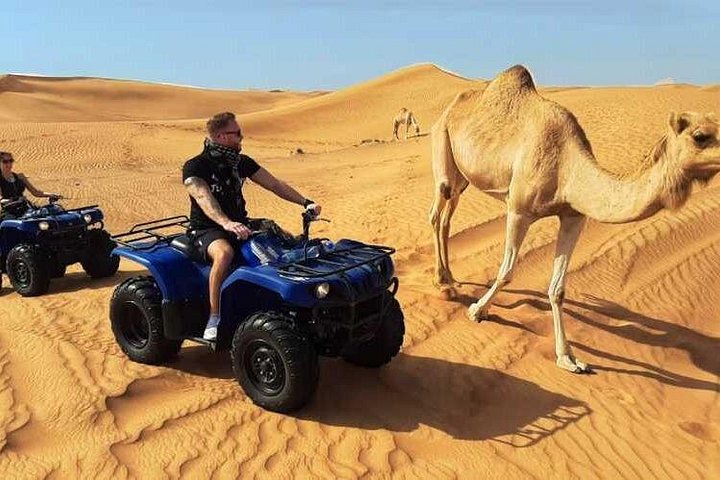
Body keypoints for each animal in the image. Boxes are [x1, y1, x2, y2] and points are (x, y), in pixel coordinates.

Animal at [429, 65, 720, 373]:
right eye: (700, 136)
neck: (567, 166)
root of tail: (452, 106)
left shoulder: (573, 217)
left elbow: (558, 288)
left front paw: (568, 358)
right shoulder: (519, 209)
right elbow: (506, 271)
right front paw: (477, 310)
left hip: (464, 178)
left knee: (448, 216)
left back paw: (450, 277)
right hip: (442, 144)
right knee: (438, 208)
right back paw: (442, 282)